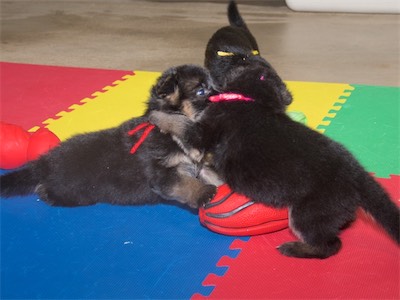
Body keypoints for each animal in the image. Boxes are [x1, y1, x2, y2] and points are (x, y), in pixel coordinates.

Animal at [0, 63, 219, 209]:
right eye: (201, 91)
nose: (223, 95)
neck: (169, 133)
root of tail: (44, 163)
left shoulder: (197, 165)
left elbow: (212, 175)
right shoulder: (163, 174)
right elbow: (185, 183)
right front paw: (203, 192)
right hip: (75, 190)